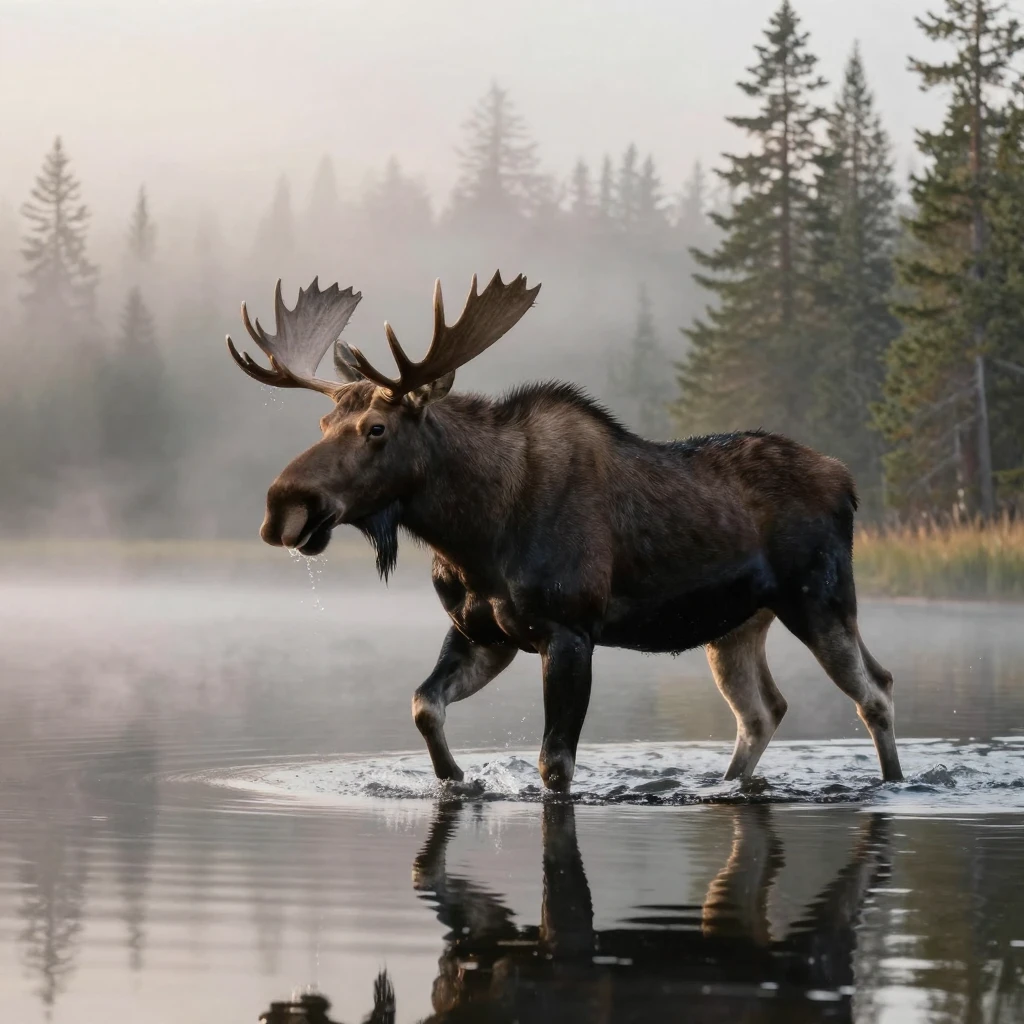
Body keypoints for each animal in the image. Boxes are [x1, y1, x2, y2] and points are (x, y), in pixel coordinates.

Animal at [226, 271, 904, 793]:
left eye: (376, 428)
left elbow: (554, 763)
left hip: (819, 598)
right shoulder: (481, 633)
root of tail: (846, 480)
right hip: (736, 624)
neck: (474, 534)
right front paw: (457, 779)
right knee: (763, 711)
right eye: (323, 422)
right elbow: (424, 705)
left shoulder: (572, 630)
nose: (284, 506)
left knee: (876, 691)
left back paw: (895, 784)